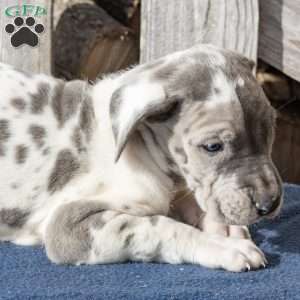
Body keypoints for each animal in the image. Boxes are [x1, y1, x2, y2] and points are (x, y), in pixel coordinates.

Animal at [0, 44, 282, 272]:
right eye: (212, 146)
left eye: (271, 128)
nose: (268, 204)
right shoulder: (69, 224)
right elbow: (161, 226)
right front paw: (224, 246)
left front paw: (225, 227)